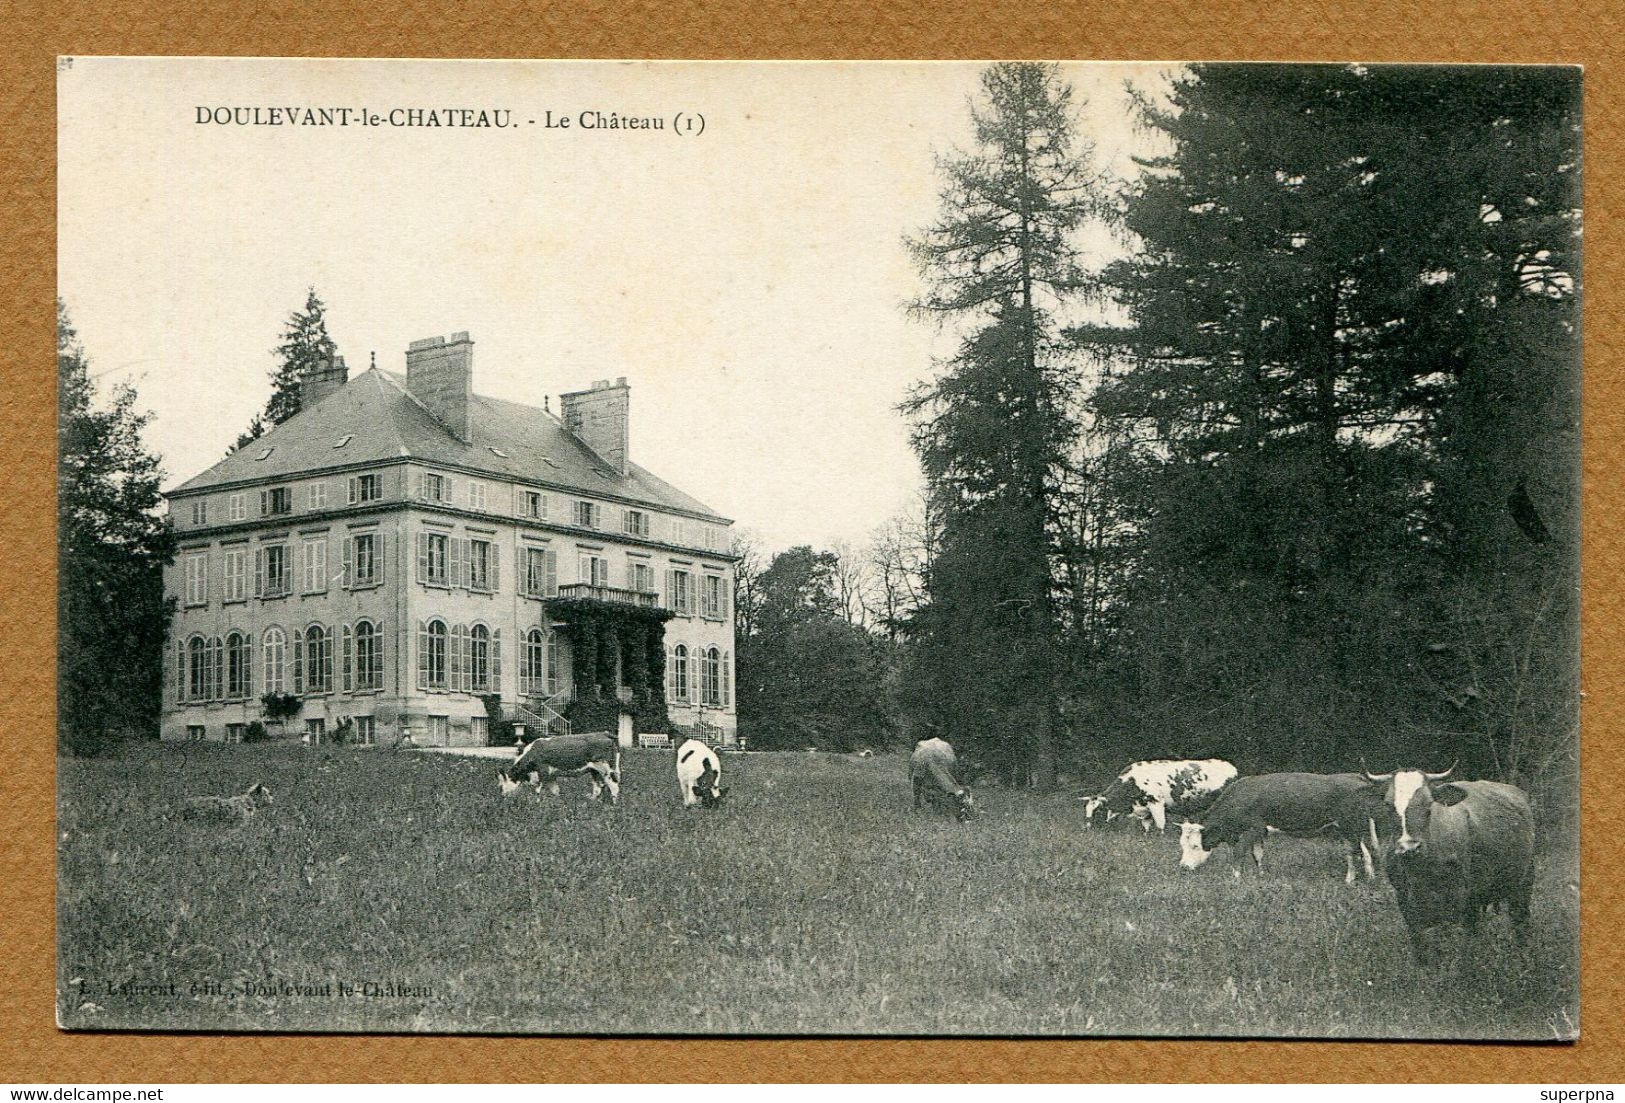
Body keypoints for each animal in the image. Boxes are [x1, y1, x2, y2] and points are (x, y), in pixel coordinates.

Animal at [1085, 760, 1235, 838]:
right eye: (1087, 811)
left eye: (1097, 810)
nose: (1087, 827)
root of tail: (1231, 767)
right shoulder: (1146, 809)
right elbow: (1146, 825)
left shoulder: (1156, 803)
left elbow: (1160, 824)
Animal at [1358, 763, 1534, 961]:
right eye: (1388, 805)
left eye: (1428, 805)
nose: (1409, 847)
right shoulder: (1406, 903)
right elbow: (1422, 950)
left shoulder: (1464, 899)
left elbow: (1465, 948)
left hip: (1523, 884)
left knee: (1520, 923)